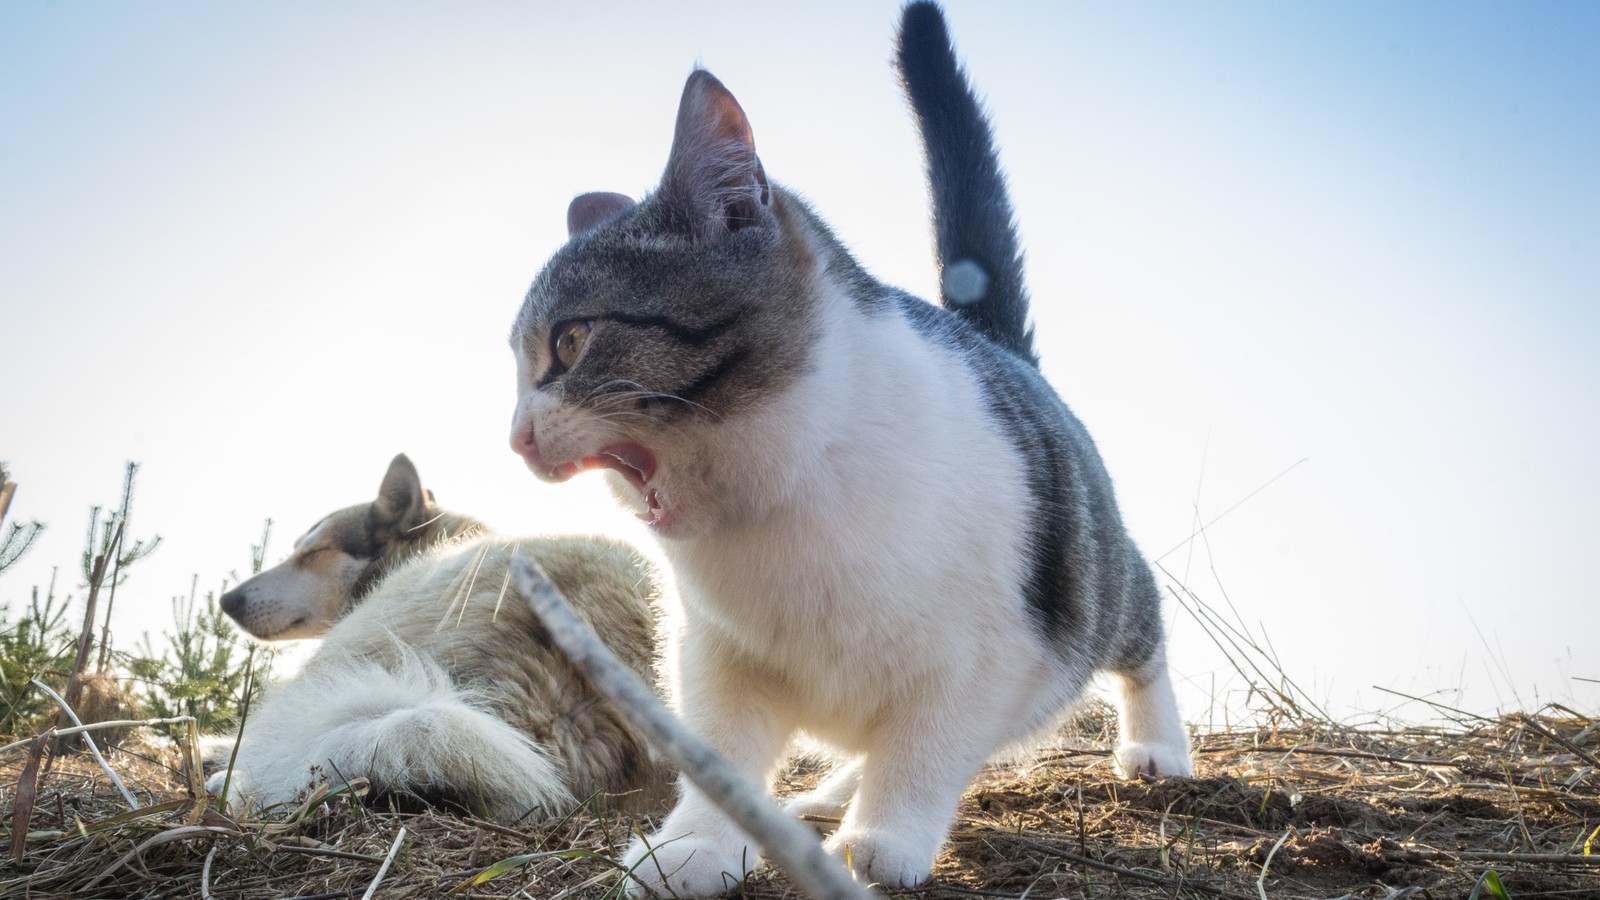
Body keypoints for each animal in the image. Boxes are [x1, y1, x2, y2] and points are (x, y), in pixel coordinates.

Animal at [508, 1, 1190, 890]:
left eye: (571, 340)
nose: (515, 435)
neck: (788, 485)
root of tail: (994, 343)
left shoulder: (986, 660)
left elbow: (924, 750)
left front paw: (885, 840)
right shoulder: (716, 653)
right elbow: (722, 749)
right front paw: (700, 843)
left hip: (1095, 583)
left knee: (1141, 635)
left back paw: (1157, 745)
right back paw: (828, 795)